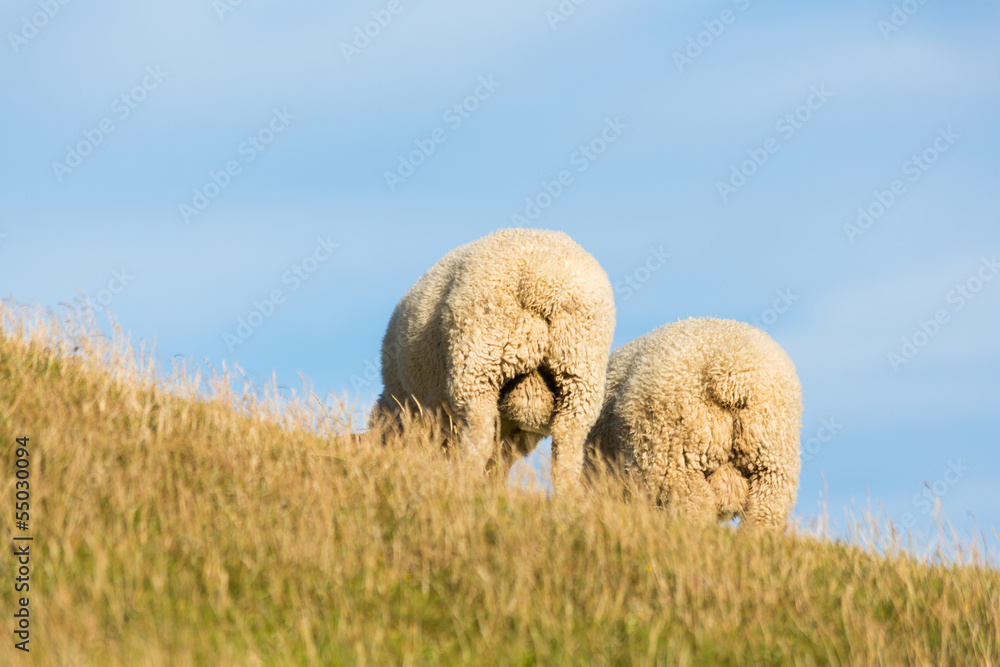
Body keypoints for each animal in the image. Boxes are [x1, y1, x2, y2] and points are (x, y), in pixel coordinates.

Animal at [372, 228, 616, 493]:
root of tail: (542, 281)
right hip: (580, 374)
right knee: (568, 449)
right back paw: (564, 496)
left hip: (479, 360)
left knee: (478, 437)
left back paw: (464, 484)